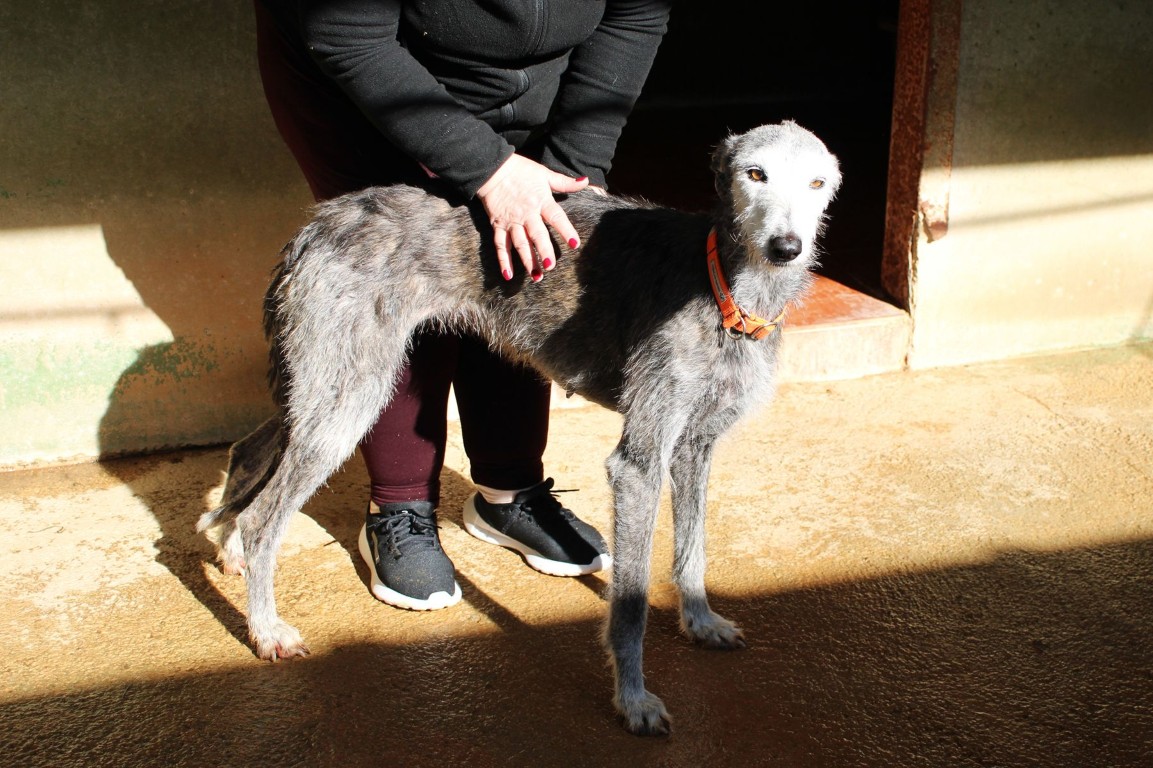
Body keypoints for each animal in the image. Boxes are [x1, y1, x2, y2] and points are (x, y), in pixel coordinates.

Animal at [199, 120, 841, 735]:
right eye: (755, 173)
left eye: (818, 183)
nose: (786, 248)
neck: (720, 283)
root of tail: (316, 227)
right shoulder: (639, 461)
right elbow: (629, 603)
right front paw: (633, 700)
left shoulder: (694, 447)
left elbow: (693, 550)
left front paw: (700, 621)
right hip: (349, 397)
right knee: (264, 517)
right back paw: (266, 626)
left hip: (318, 388)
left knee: (250, 450)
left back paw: (230, 550)